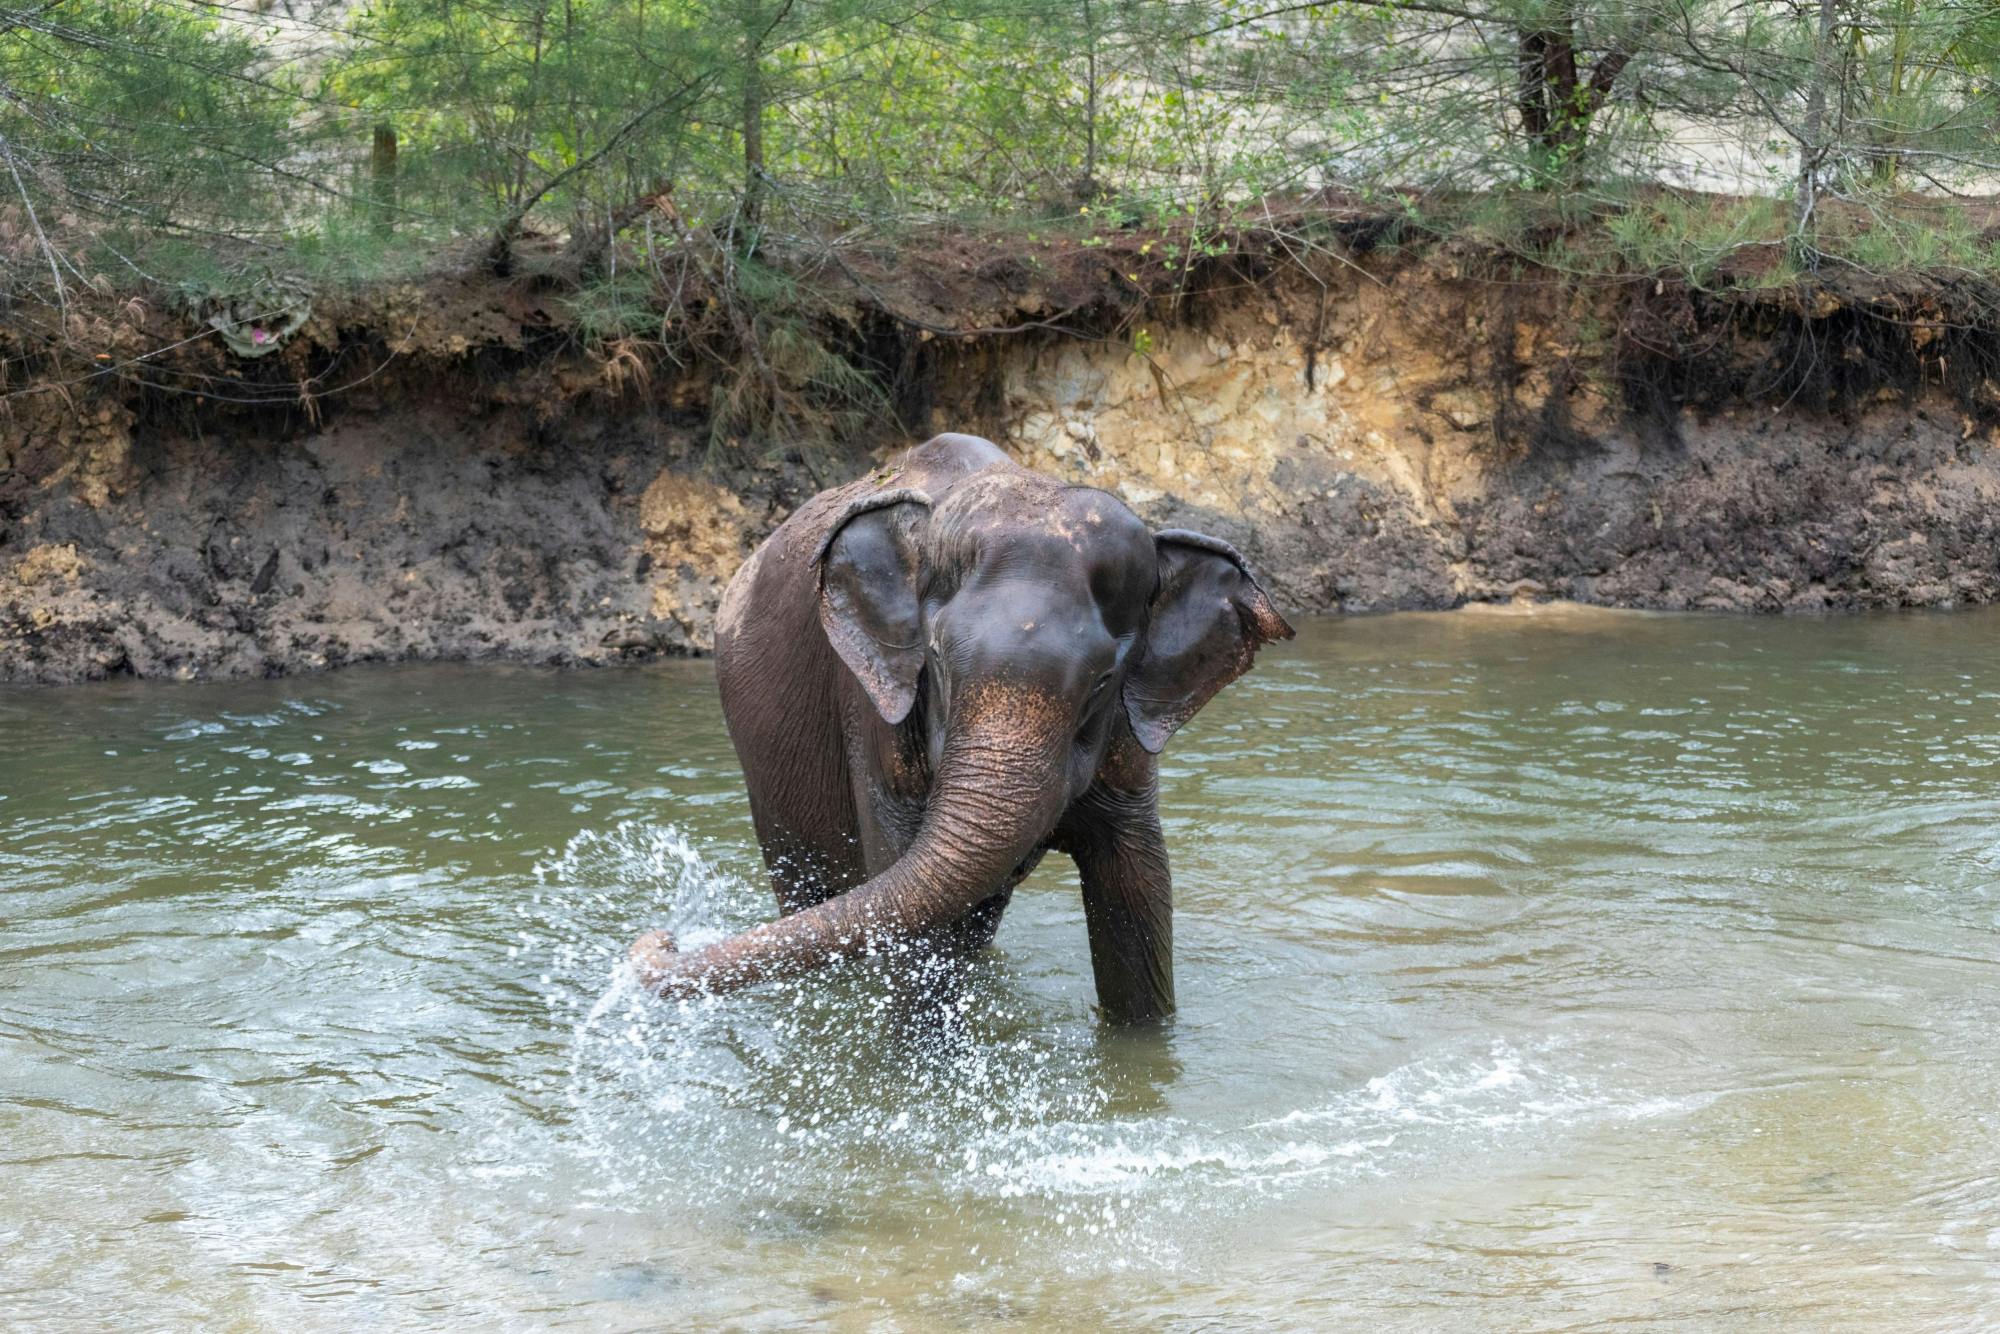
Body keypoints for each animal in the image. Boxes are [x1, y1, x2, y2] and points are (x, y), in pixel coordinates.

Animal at [640, 434, 1296, 1032]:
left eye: (1104, 682)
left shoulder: (1129, 743)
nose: (659, 940)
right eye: (936, 660)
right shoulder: (878, 712)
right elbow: (914, 917)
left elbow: (1136, 886)